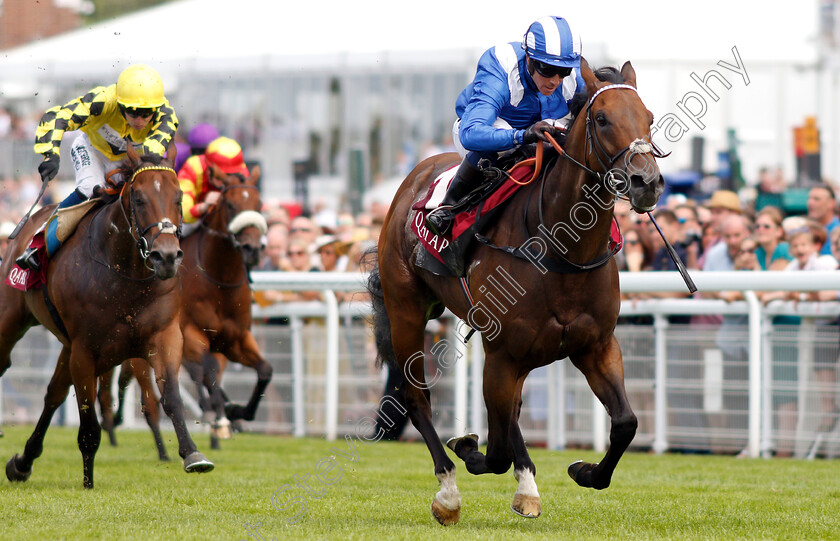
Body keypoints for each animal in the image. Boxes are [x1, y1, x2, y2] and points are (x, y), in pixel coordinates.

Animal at [0, 141, 213, 488]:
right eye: (139, 199)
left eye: (179, 198)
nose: (167, 257)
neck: (124, 274)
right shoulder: (86, 350)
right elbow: (88, 419)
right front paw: (88, 481)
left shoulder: (164, 336)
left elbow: (171, 396)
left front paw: (193, 454)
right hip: (12, 320)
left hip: (67, 345)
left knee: (53, 394)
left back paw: (23, 462)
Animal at [370, 60, 668, 524]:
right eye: (602, 119)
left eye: (649, 118)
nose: (646, 182)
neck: (562, 250)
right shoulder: (503, 353)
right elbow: (496, 449)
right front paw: (476, 456)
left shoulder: (596, 345)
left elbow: (625, 423)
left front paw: (585, 471)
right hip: (406, 310)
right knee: (417, 399)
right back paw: (449, 493)